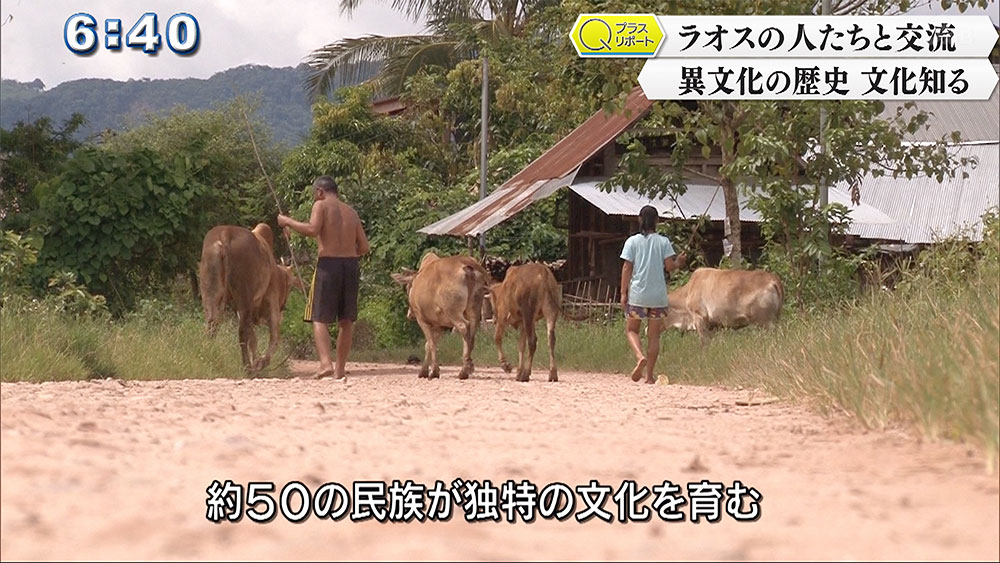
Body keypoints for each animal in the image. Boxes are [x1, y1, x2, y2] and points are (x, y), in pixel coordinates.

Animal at [197, 223, 302, 372]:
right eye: (289, 286)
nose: (284, 305)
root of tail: (225, 232)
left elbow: (253, 339)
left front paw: (257, 361)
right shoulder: (272, 305)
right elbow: (274, 338)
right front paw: (261, 362)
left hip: (210, 293)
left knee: (211, 324)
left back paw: (210, 353)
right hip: (244, 297)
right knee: (241, 334)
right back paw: (247, 366)